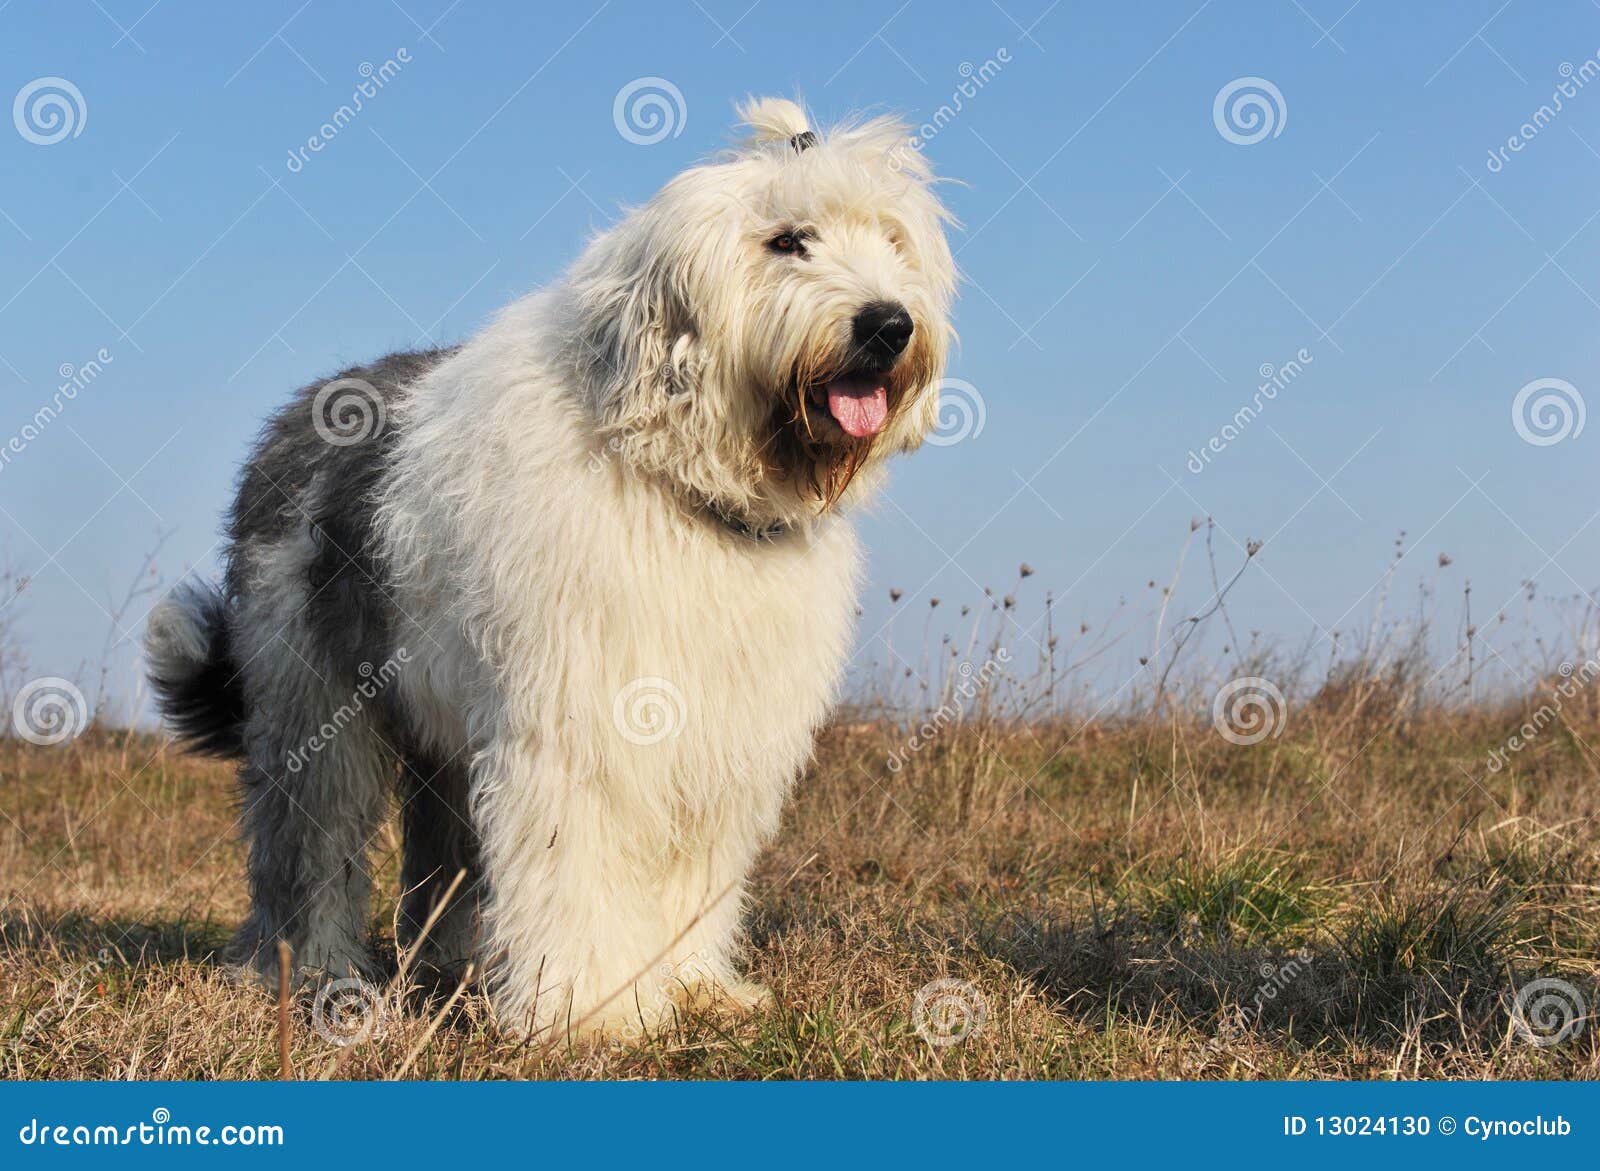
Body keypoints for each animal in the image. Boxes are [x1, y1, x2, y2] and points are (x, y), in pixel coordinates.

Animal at [147, 98, 947, 1036]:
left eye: (892, 240)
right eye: (787, 240)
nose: (888, 324)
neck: (676, 478)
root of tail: (295, 412)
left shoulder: (717, 735)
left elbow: (689, 871)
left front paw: (690, 986)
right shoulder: (584, 722)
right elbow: (576, 861)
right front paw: (590, 1009)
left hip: (440, 727)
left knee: (443, 850)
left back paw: (449, 966)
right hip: (310, 698)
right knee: (311, 839)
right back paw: (312, 970)